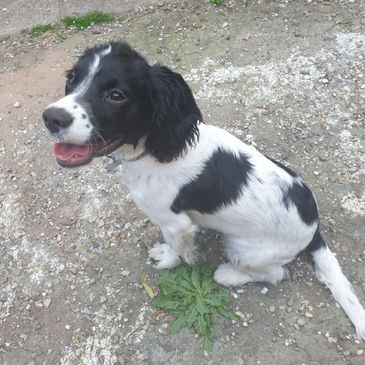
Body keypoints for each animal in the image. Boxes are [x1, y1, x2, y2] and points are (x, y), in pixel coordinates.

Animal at [42, 42, 364, 338]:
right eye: (72, 78)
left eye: (116, 95)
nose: (51, 117)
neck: (154, 149)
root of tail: (314, 225)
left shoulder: (176, 223)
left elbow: (177, 249)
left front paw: (167, 259)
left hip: (244, 249)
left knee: (276, 273)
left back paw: (228, 275)